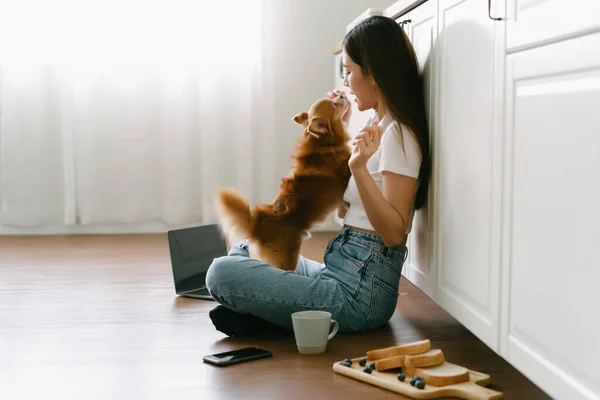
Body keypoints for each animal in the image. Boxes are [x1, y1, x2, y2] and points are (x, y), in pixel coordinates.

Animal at [214, 96, 352, 270]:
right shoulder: (345, 174)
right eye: (334, 104)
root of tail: (258, 224)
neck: (322, 143)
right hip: (287, 261)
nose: (342, 95)